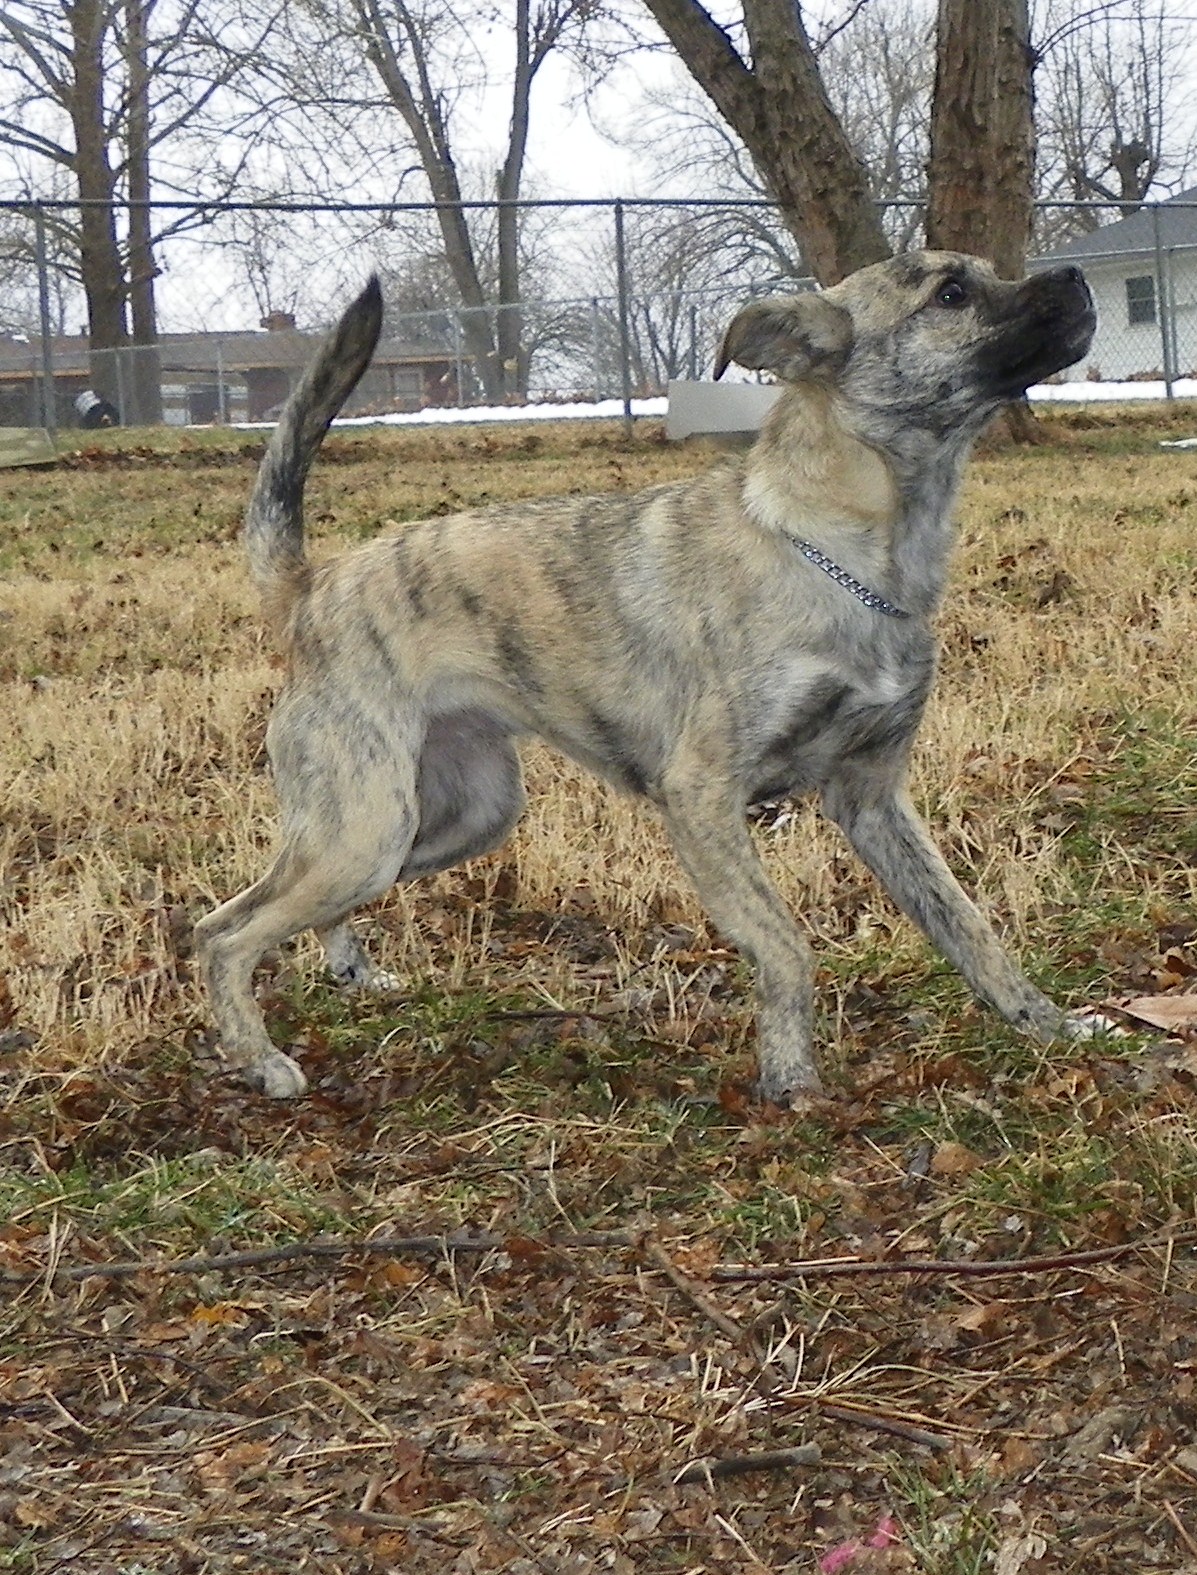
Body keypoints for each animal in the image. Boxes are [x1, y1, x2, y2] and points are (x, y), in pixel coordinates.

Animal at [196, 252, 1102, 1102]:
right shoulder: (701, 798)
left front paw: (1046, 1024)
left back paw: (348, 973)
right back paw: (259, 1060)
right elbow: (786, 946)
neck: (837, 552)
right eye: (950, 293)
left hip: (451, 817)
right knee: (221, 931)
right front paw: (790, 1078)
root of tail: (311, 588)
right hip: (366, 828)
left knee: (296, 912)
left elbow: (968, 925)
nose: (1076, 275)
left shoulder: (873, 798)